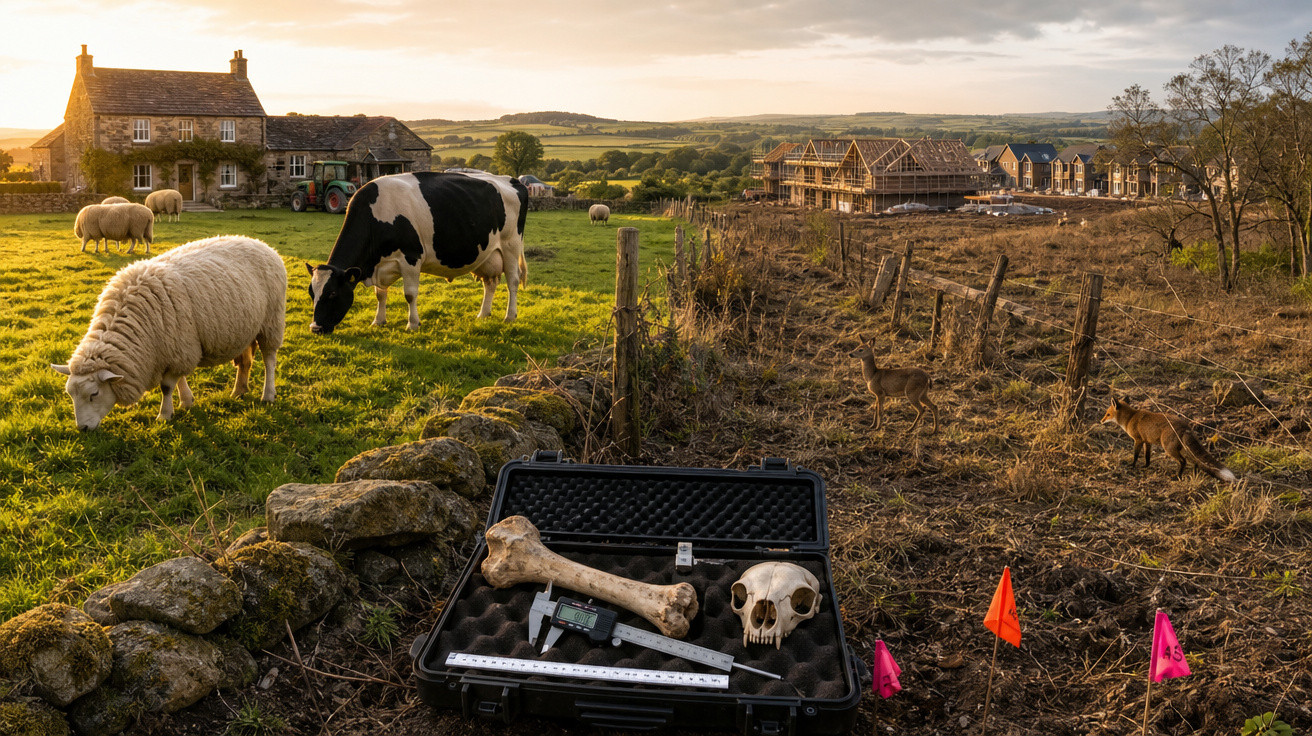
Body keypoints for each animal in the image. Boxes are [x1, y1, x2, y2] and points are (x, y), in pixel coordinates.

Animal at [305, 171, 528, 334]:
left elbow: (410, 294)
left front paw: (412, 324)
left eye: (332, 293)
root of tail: (511, 179)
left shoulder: (410, 258)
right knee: (490, 283)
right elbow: (380, 294)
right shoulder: (379, 263)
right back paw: (483, 314)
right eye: (311, 293)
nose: (315, 328)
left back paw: (510, 316)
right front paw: (378, 320)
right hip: (488, 255)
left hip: (510, 245)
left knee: (512, 282)